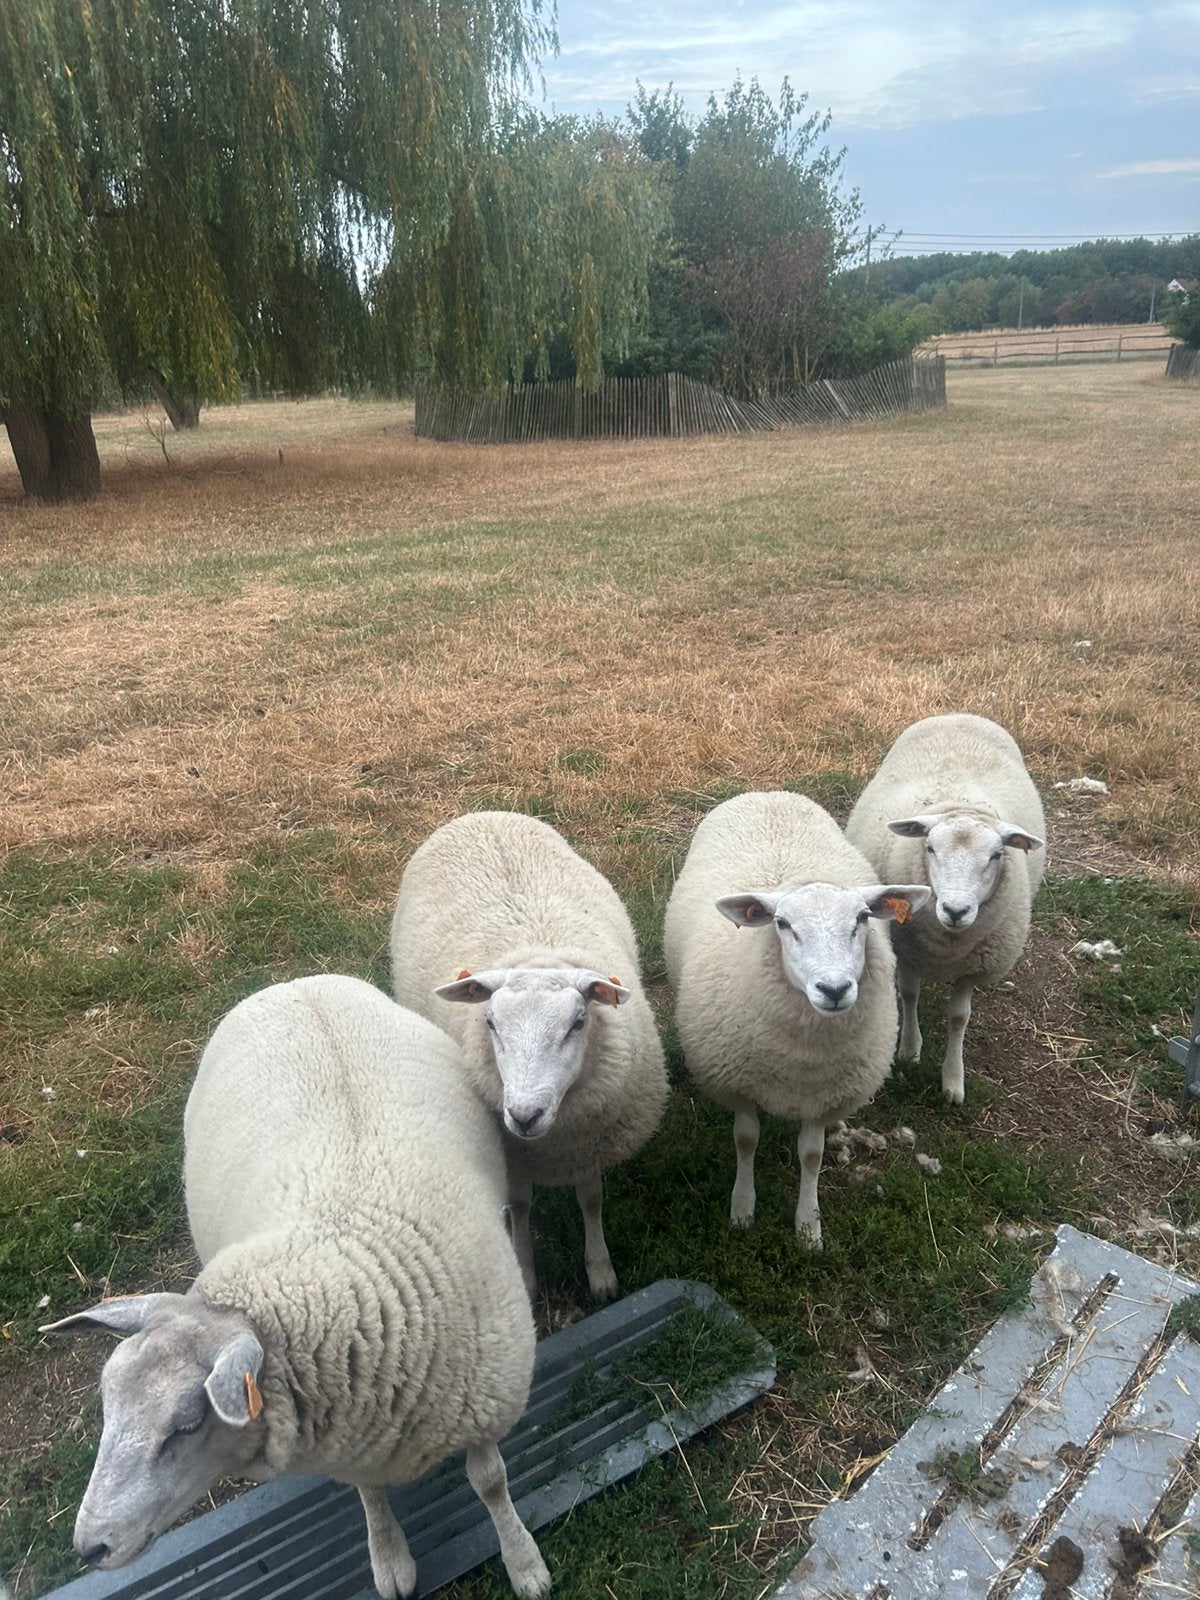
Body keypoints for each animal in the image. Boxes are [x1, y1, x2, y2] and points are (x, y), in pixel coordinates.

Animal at [41, 974, 550, 1600]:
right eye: (107, 1400)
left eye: (187, 1424)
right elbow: (370, 1494)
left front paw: (524, 1562)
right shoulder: (354, 1441)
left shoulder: (483, 1404)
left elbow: (491, 1482)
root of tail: (299, 983)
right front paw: (390, 1559)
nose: (91, 1547)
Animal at [390, 810, 668, 1303]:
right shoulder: (514, 1152)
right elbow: (519, 1205)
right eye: (489, 1022)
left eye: (578, 1022)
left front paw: (601, 1274)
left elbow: (591, 1199)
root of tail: (482, 812)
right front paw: (526, 1275)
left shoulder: (588, 1140)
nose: (524, 1114)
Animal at [663, 790, 929, 1248]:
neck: (803, 1060)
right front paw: (742, 1209)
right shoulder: (737, 1084)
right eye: (783, 923)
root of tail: (768, 793)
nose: (834, 989)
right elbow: (746, 1140)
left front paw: (808, 1227)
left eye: (862, 919)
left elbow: (812, 1154)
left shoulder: (824, 1095)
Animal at [844, 713, 1046, 1105]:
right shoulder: (908, 950)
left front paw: (953, 1081)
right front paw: (909, 1050)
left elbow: (959, 1018)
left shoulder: (974, 967)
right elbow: (909, 995)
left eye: (996, 855)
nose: (955, 910)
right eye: (930, 848)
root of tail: (962, 713)